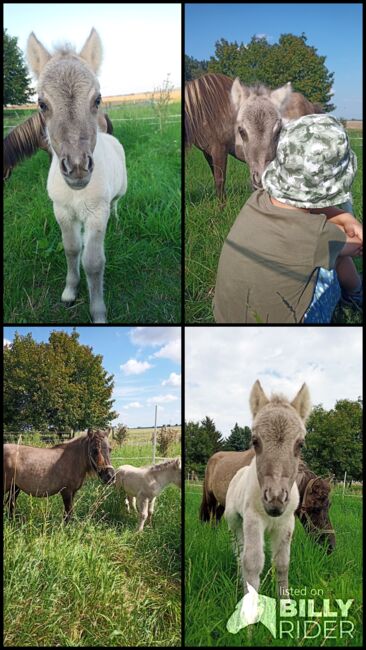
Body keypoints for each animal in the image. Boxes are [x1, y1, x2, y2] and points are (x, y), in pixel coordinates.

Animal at [26, 28, 127, 322]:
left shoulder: (97, 213)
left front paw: (98, 312)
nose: (78, 166)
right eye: (42, 104)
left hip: (119, 192)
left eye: (97, 100)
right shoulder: (62, 211)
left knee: (117, 203)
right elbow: (72, 250)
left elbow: (93, 262)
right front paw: (70, 293)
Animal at [224, 380, 310, 596]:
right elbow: (252, 562)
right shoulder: (253, 520)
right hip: (235, 521)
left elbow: (282, 564)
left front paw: (285, 600)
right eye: (255, 441)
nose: (275, 499)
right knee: (239, 551)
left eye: (300, 444)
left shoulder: (286, 524)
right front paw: (250, 601)